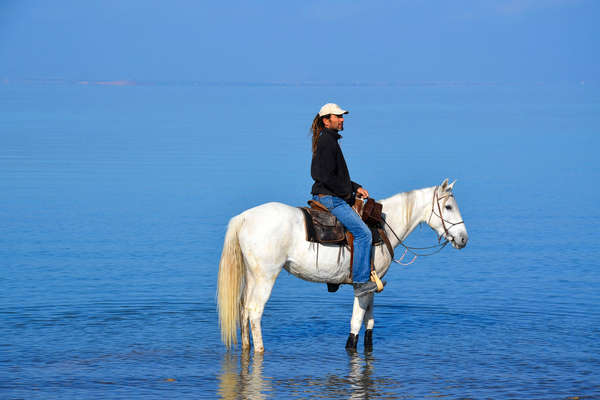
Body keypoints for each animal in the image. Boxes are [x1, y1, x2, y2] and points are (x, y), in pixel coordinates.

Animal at [217, 180, 468, 352]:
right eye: (448, 207)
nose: (463, 238)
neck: (383, 227)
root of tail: (244, 217)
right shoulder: (362, 286)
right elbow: (356, 322)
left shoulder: (372, 284)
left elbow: (369, 321)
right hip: (265, 277)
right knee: (254, 311)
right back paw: (260, 349)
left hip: (251, 276)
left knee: (243, 309)